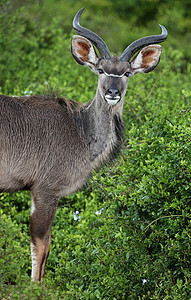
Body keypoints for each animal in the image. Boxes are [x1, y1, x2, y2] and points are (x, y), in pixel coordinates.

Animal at [0, 7, 167, 282]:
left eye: (126, 73)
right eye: (100, 70)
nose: (112, 93)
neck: (80, 129)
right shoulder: (45, 191)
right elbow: (41, 247)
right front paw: (35, 287)